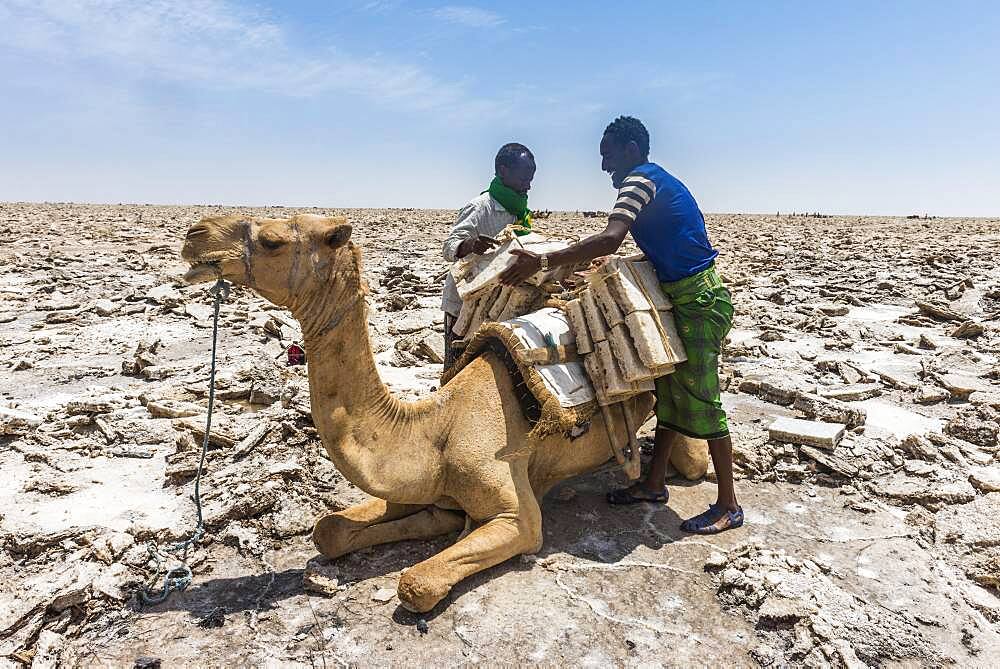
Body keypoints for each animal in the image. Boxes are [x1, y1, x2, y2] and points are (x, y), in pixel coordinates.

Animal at [182, 214, 712, 612]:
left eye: (271, 240)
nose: (195, 235)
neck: (434, 426)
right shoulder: (430, 492)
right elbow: (329, 530)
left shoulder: (516, 516)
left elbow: (416, 583)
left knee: (692, 451)